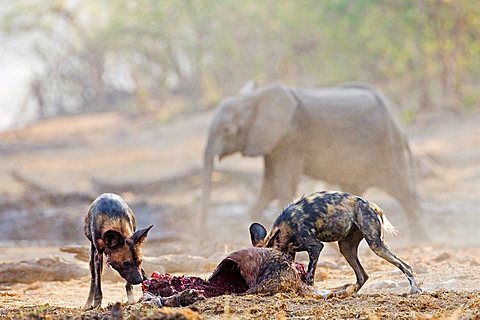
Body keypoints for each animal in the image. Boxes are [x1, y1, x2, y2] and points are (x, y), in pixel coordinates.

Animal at [202, 83, 424, 238]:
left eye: (227, 130)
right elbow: (271, 184)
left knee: (403, 191)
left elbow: (282, 183)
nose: (202, 233)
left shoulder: (290, 140)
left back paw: (418, 239)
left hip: (388, 149)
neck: (254, 98)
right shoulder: (273, 145)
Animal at [249, 191, 422, 296]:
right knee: (363, 276)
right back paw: (345, 293)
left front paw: (309, 292)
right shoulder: (291, 252)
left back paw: (414, 290)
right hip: (346, 249)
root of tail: (371, 205)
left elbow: (310, 276)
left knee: (406, 266)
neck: (286, 228)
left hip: (376, 246)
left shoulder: (315, 247)